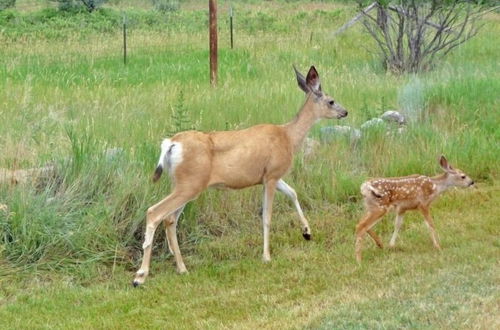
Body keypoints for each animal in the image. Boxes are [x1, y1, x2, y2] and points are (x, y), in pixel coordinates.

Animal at [133, 65, 348, 286]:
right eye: (331, 101)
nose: (345, 112)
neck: (288, 137)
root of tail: (171, 143)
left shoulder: (269, 176)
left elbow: (293, 193)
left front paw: (307, 232)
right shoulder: (272, 175)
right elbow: (267, 216)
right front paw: (266, 256)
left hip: (183, 184)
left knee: (169, 220)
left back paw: (182, 269)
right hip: (190, 183)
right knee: (155, 212)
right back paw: (140, 276)